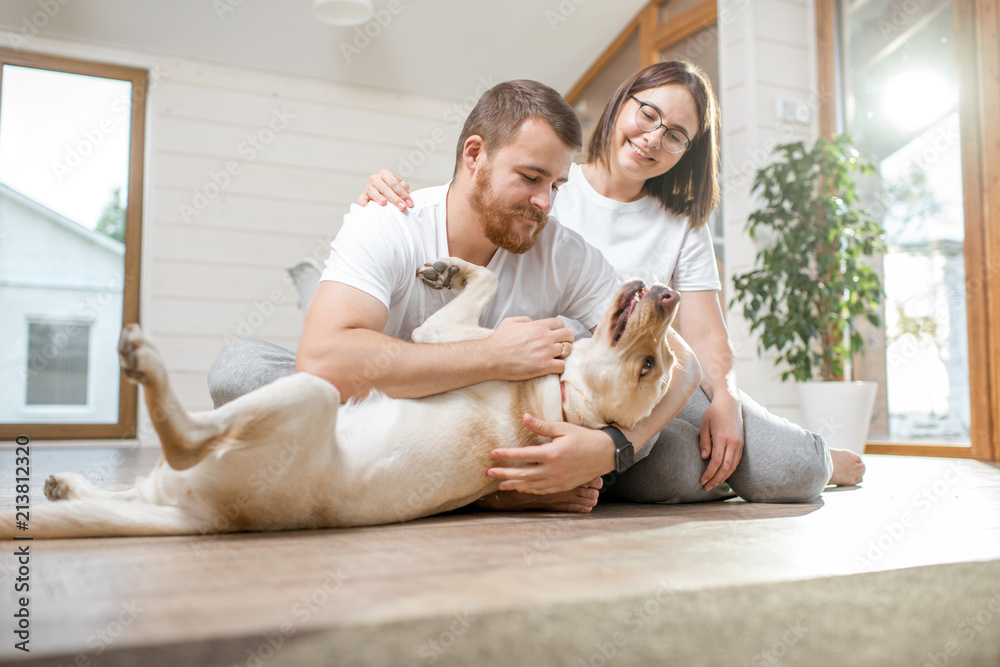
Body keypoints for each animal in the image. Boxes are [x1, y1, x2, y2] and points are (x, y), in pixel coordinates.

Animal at [0, 258, 692, 540]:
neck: (566, 398)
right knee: (134, 488)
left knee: (185, 437)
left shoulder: (439, 337)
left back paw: (143, 363)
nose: (670, 296)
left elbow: (483, 287)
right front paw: (449, 269)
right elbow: (486, 278)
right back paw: (68, 489)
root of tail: (207, 519)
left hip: (308, 395)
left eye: (649, 365)